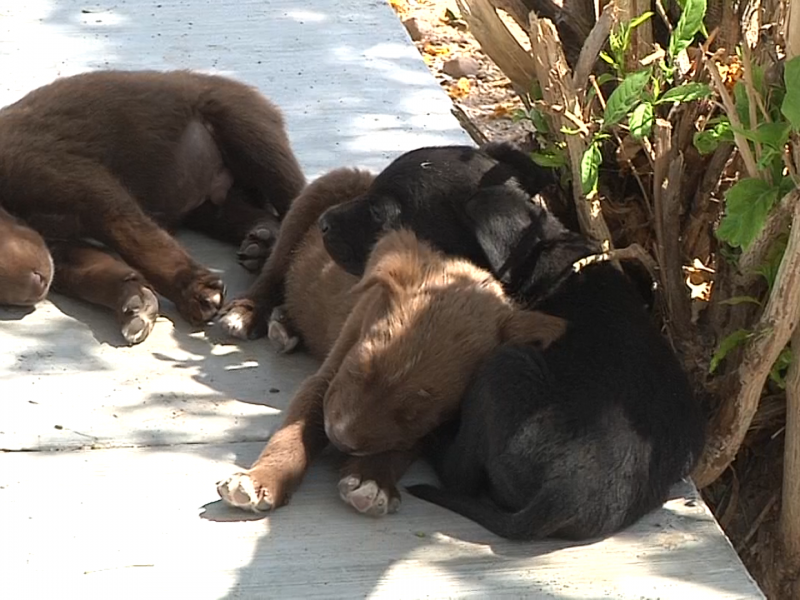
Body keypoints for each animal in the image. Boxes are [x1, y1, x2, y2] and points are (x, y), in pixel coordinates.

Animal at [0, 69, 306, 342]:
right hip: (209, 208)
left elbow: (141, 242)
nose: (36, 288)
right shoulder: (57, 247)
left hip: (247, 131)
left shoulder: (87, 187)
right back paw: (261, 244)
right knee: (264, 218)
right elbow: (91, 272)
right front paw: (135, 304)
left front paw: (195, 292)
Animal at [212, 168, 564, 516]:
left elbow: (402, 444)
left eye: (414, 412)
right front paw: (260, 480)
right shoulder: (326, 379)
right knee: (274, 270)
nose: (338, 439)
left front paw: (372, 479)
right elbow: (293, 433)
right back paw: (249, 311)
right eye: (359, 368)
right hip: (310, 204)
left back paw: (285, 321)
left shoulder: (433, 425)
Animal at [318, 143, 708, 540]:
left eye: (381, 214)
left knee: (460, 475)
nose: (322, 222)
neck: (533, 261)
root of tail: (562, 497)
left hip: (505, 364)